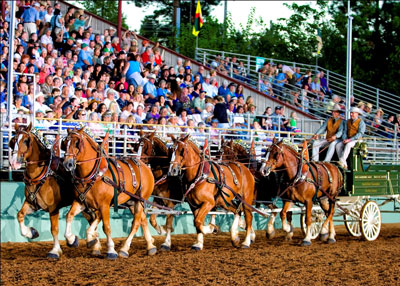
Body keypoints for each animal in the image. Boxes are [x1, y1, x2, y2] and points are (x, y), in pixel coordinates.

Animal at [8, 124, 100, 258]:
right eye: (13, 140)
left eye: (26, 140)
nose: (13, 162)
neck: (44, 174)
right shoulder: (32, 203)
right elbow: (19, 214)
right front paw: (31, 232)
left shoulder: (53, 208)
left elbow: (54, 229)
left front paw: (56, 249)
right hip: (85, 207)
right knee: (93, 219)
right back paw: (95, 245)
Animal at [62, 128, 156, 258]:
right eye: (64, 143)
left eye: (77, 143)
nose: (67, 164)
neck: (94, 176)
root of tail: (143, 164)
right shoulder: (80, 202)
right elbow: (69, 216)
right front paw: (73, 239)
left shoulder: (104, 205)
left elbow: (106, 227)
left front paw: (111, 250)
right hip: (131, 202)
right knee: (143, 219)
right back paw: (150, 246)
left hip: (140, 200)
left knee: (136, 223)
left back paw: (124, 249)